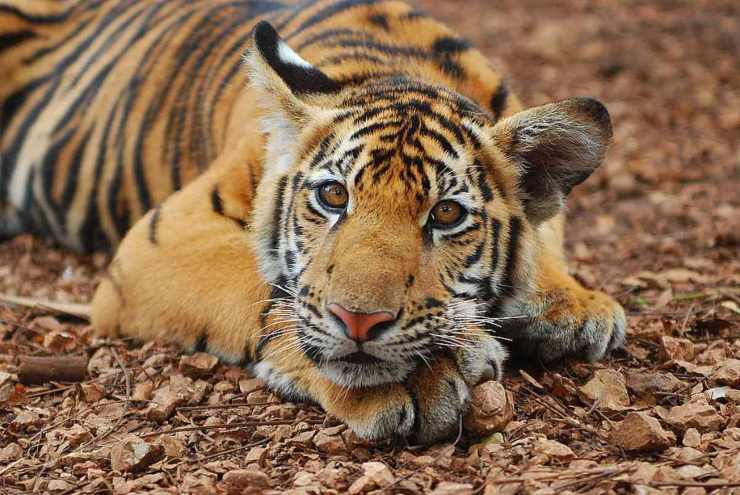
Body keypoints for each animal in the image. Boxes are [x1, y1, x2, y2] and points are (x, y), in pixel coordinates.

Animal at [0, 0, 626, 443]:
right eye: (332, 196)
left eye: (445, 213)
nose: (359, 322)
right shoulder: (166, 237)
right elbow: (266, 291)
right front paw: (419, 376)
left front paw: (575, 306)